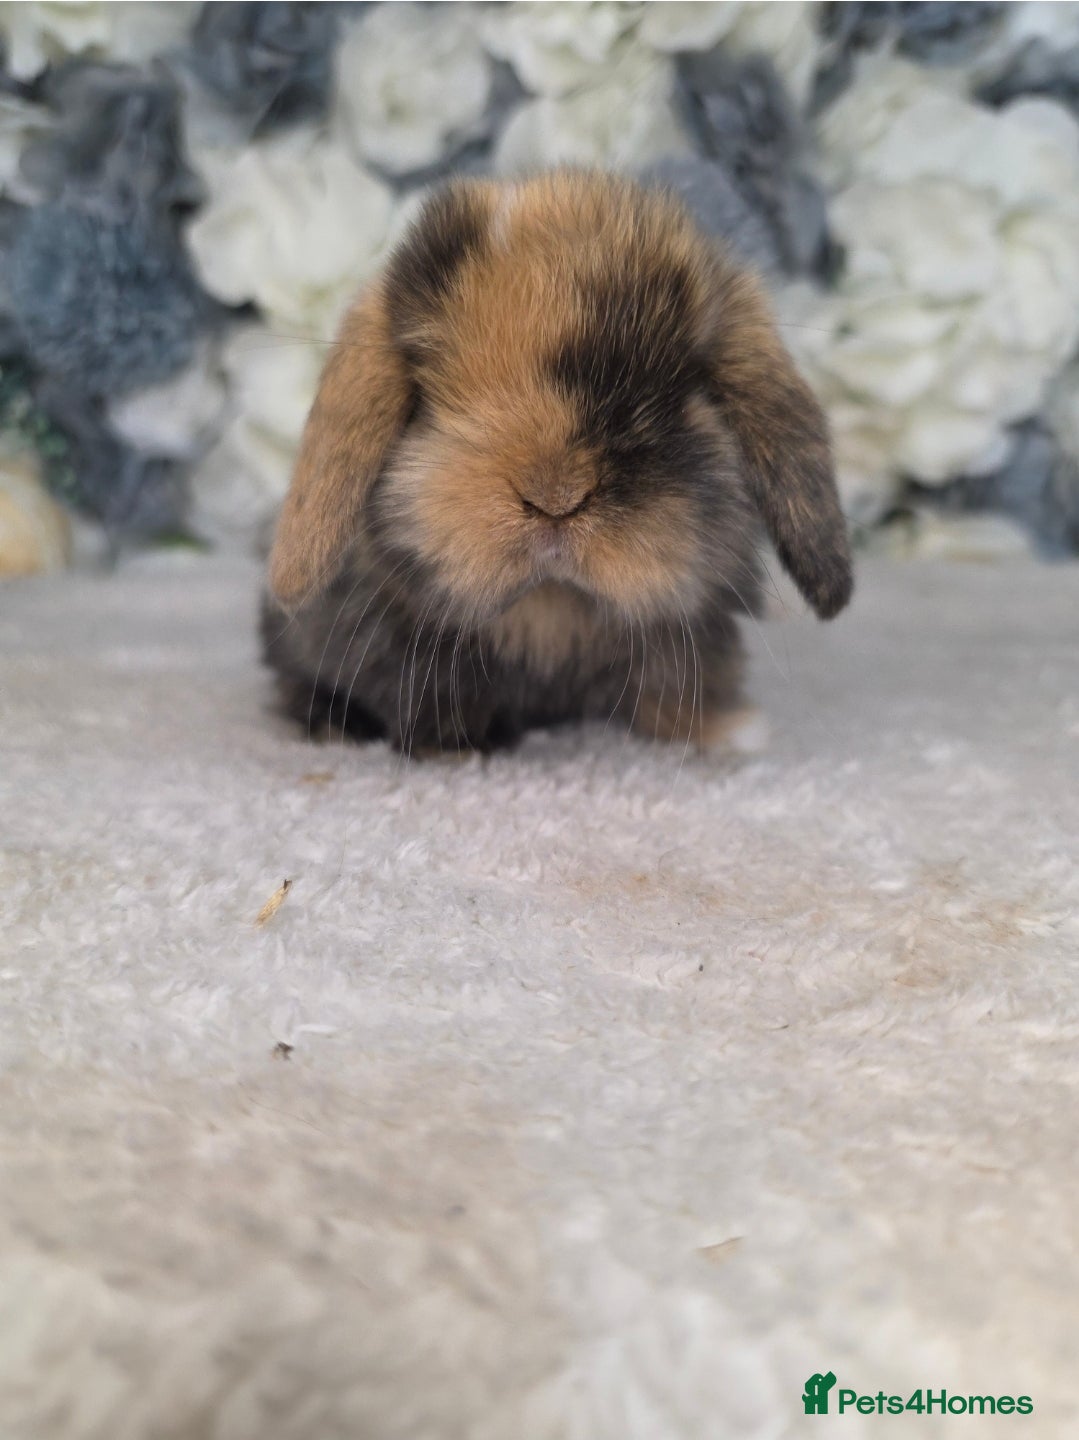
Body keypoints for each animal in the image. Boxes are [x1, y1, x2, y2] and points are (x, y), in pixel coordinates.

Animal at [261, 170, 852, 756]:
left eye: (679, 391)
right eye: (427, 393)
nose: (556, 496)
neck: (551, 604)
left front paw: (728, 733)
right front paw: (458, 744)